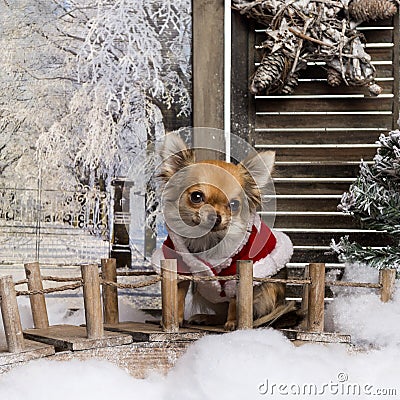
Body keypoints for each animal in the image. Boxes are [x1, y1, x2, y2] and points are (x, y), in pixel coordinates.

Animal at [152, 133, 292, 330]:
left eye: (234, 204)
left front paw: (233, 323)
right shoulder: (181, 263)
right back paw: (207, 318)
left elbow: (235, 301)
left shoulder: (238, 272)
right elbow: (178, 294)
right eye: (196, 196)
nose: (215, 217)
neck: (208, 239)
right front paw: (175, 320)